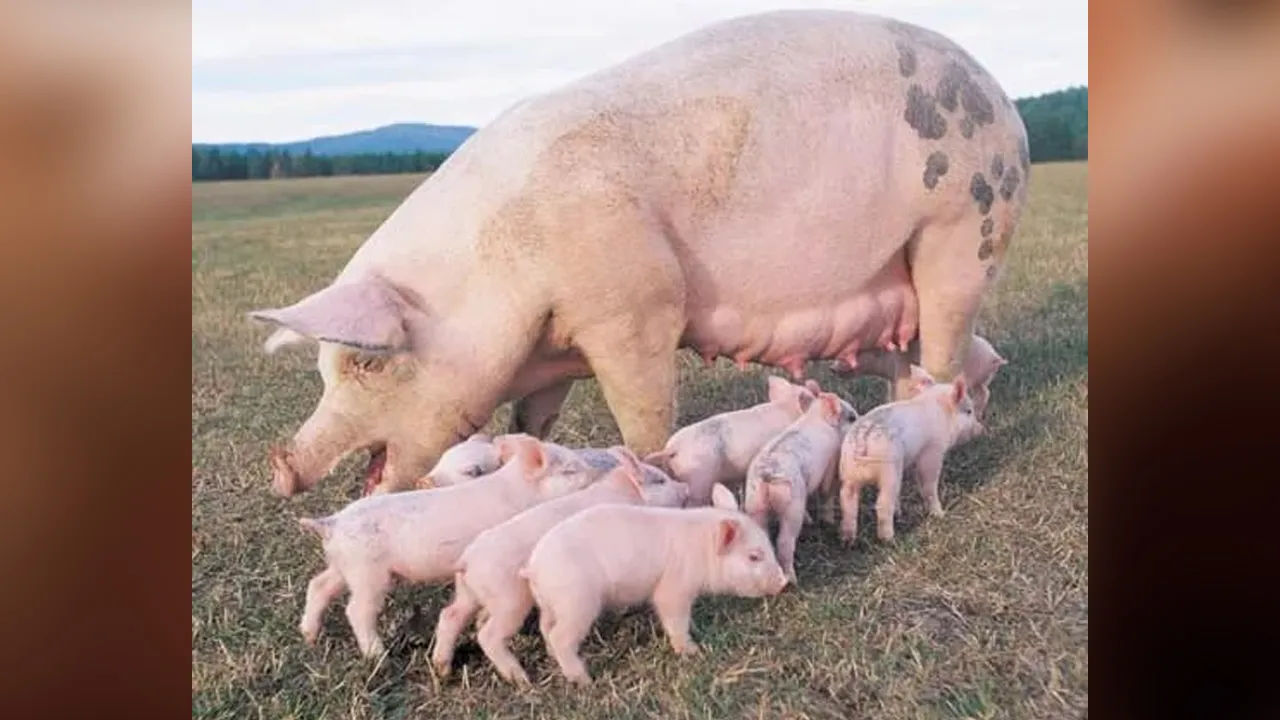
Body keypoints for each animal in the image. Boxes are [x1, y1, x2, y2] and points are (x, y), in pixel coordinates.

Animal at [294, 434, 597, 658]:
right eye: (570, 469)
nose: (596, 472)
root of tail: (331, 523)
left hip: (343, 566)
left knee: (319, 586)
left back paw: (309, 636)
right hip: (368, 573)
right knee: (357, 609)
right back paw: (378, 655)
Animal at [430, 447, 689, 685]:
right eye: (660, 480)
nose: (685, 487)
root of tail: (467, 560)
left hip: (468, 593)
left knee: (450, 615)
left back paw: (443, 670)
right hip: (509, 600)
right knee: (488, 635)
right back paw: (522, 679)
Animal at [520, 483, 788, 685]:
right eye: (754, 556)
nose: (784, 581)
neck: (701, 549)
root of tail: (533, 568)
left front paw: (696, 630)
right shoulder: (674, 587)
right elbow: (673, 617)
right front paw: (692, 651)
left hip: (550, 604)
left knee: (546, 627)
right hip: (577, 603)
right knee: (560, 636)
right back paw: (584, 680)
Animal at [742, 391, 855, 584]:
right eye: (852, 417)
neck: (817, 417)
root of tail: (767, 474)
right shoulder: (831, 462)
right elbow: (826, 491)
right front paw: (828, 522)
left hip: (754, 502)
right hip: (791, 505)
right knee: (785, 542)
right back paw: (793, 580)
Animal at [836, 367, 984, 544]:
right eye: (969, 411)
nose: (981, 429)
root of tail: (862, 441)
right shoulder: (932, 452)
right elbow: (929, 484)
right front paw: (940, 514)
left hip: (848, 471)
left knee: (847, 499)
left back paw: (848, 539)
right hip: (889, 470)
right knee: (882, 504)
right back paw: (889, 539)